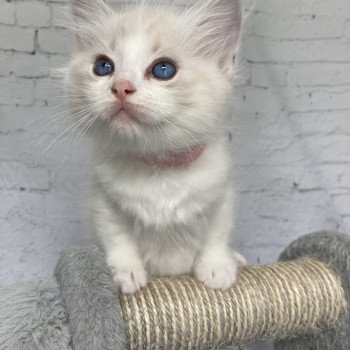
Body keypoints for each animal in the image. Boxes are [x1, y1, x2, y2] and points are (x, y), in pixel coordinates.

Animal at [66, 0, 246, 294]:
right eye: (103, 66)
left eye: (163, 70)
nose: (121, 87)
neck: (159, 165)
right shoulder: (104, 203)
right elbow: (117, 238)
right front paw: (126, 273)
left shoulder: (221, 195)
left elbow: (217, 234)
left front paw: (217, 268)